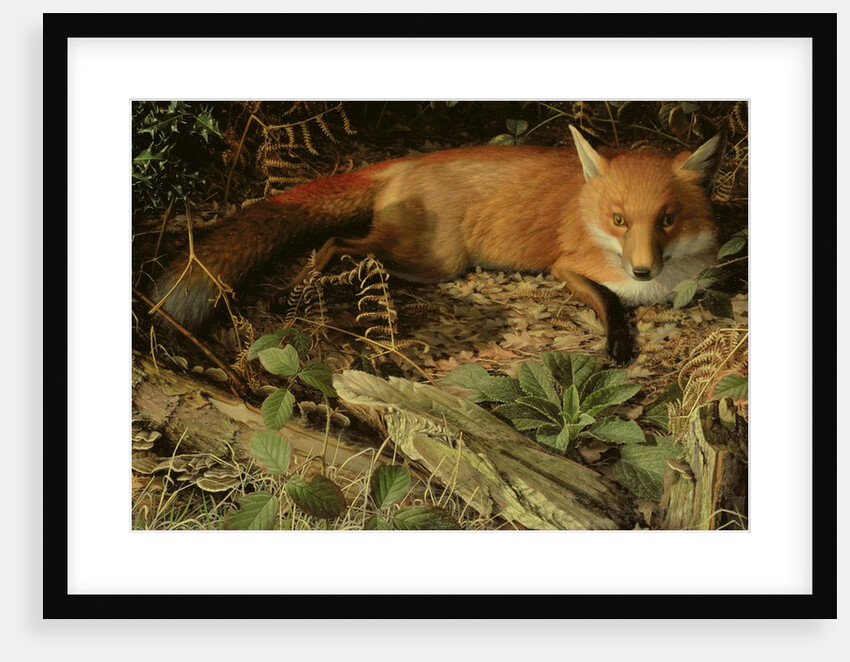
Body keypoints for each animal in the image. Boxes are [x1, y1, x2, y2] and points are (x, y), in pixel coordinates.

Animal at [152, 125, 722, 364]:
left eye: (667, 220)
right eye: (619, 220)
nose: (643, 271)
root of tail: (409, 161)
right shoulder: (565, 266)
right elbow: (609, 301)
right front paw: (618, 344)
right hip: (435, 260)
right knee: (335, 240)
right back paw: (291, 294)